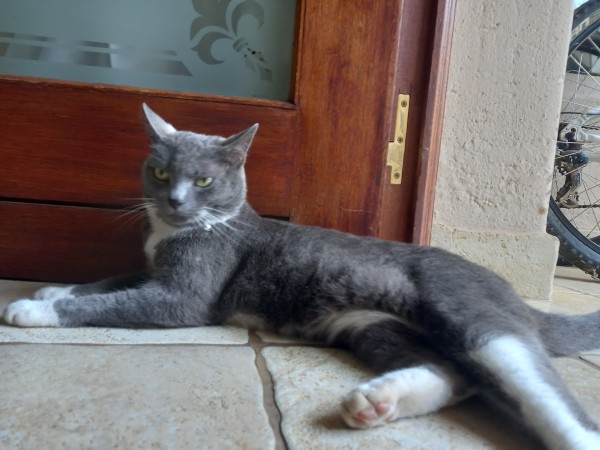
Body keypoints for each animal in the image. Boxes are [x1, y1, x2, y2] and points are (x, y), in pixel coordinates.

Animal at [4, 104, 600, 450]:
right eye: (159, 171)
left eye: (203, 181)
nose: (173, 201)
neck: (176, 233)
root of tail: (512, 294)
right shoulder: (149, 269)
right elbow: (110, 281)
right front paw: (54, 287)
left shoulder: (184, 296)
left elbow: (116, 301)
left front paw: (32, 308)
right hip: (373, 324)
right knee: (455, 373)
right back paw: (378, 401)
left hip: (468, 313)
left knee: (526, 378)